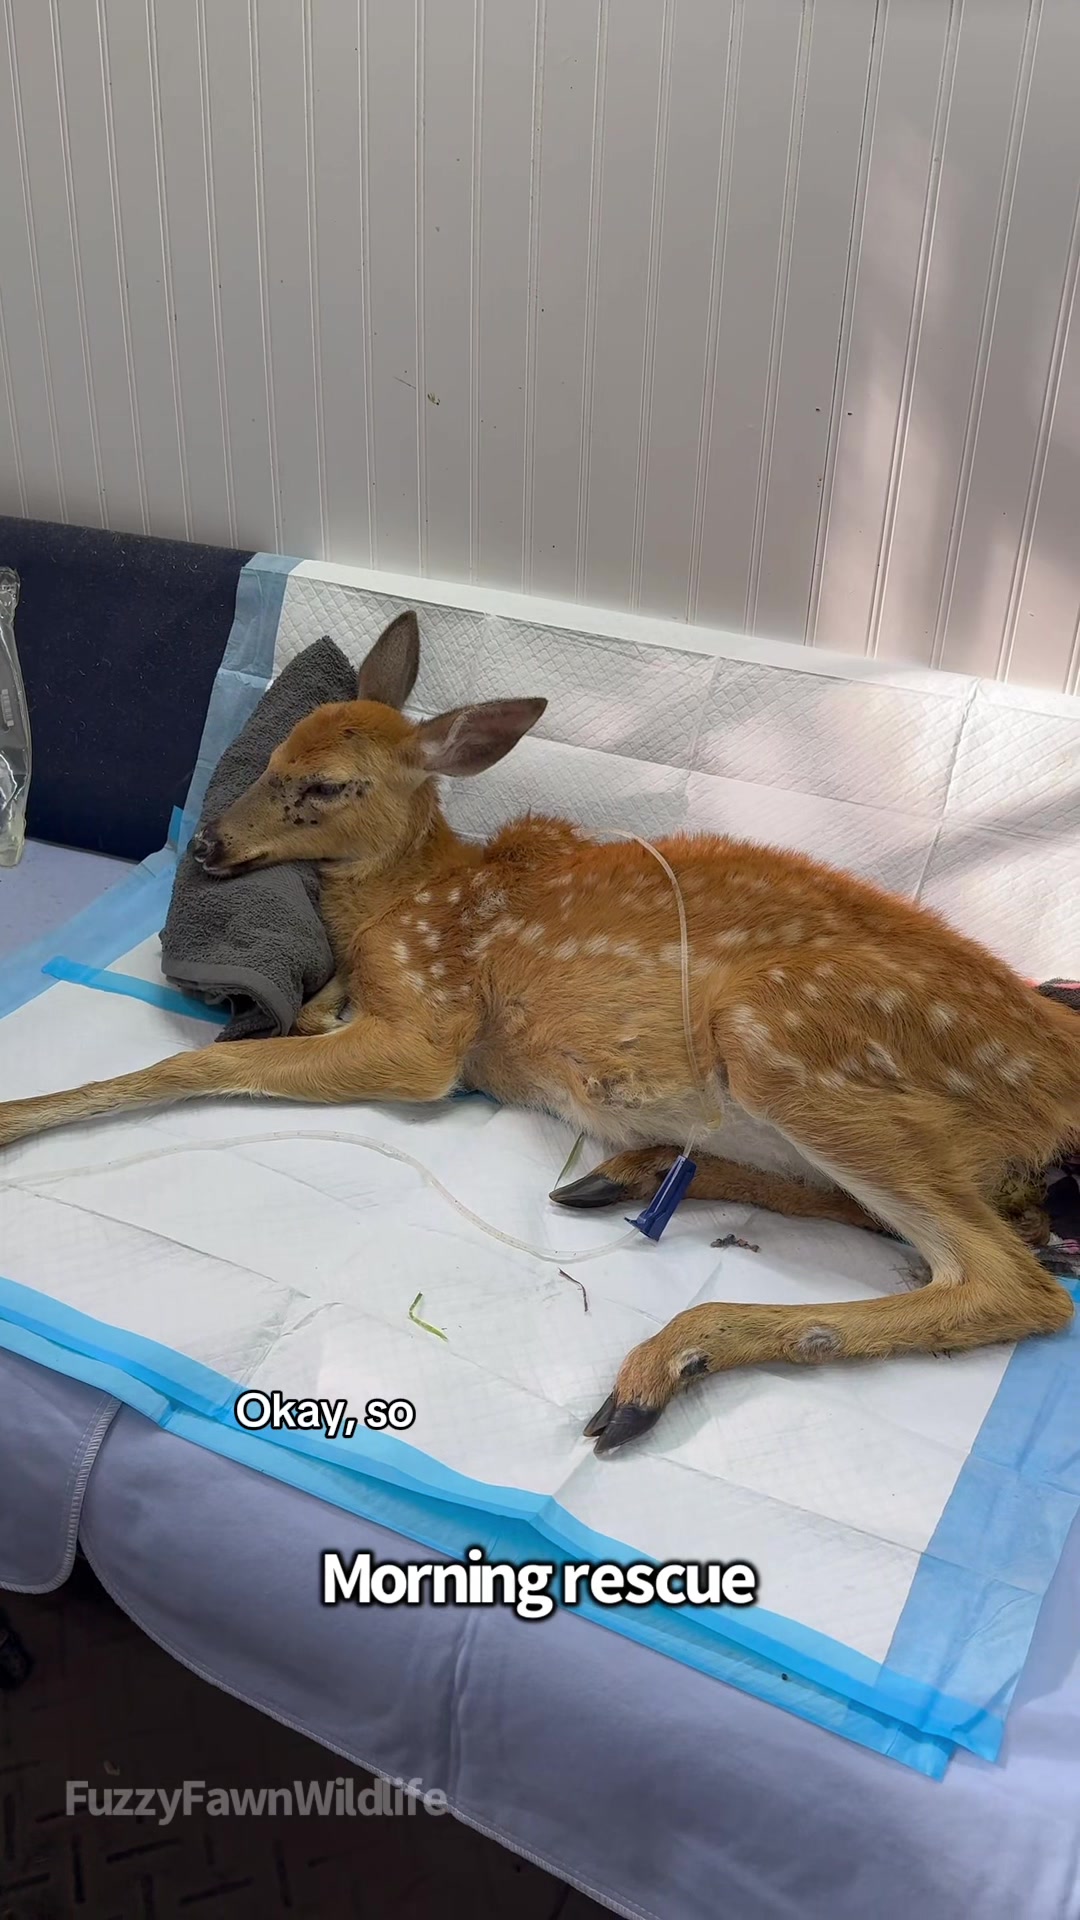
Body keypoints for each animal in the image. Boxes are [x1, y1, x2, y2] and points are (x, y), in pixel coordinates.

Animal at [0, 611, 1075, 1455]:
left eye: (329, 785)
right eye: (270, 758)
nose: (210, 844)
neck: (402, 903)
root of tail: (1059, 1073)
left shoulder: (433, 1029)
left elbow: (188, 1067)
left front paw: (20, 1117)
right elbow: (299, 1012)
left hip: (787, 1039)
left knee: (1014, 1284)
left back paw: (659, 1363)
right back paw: (629, 1178)